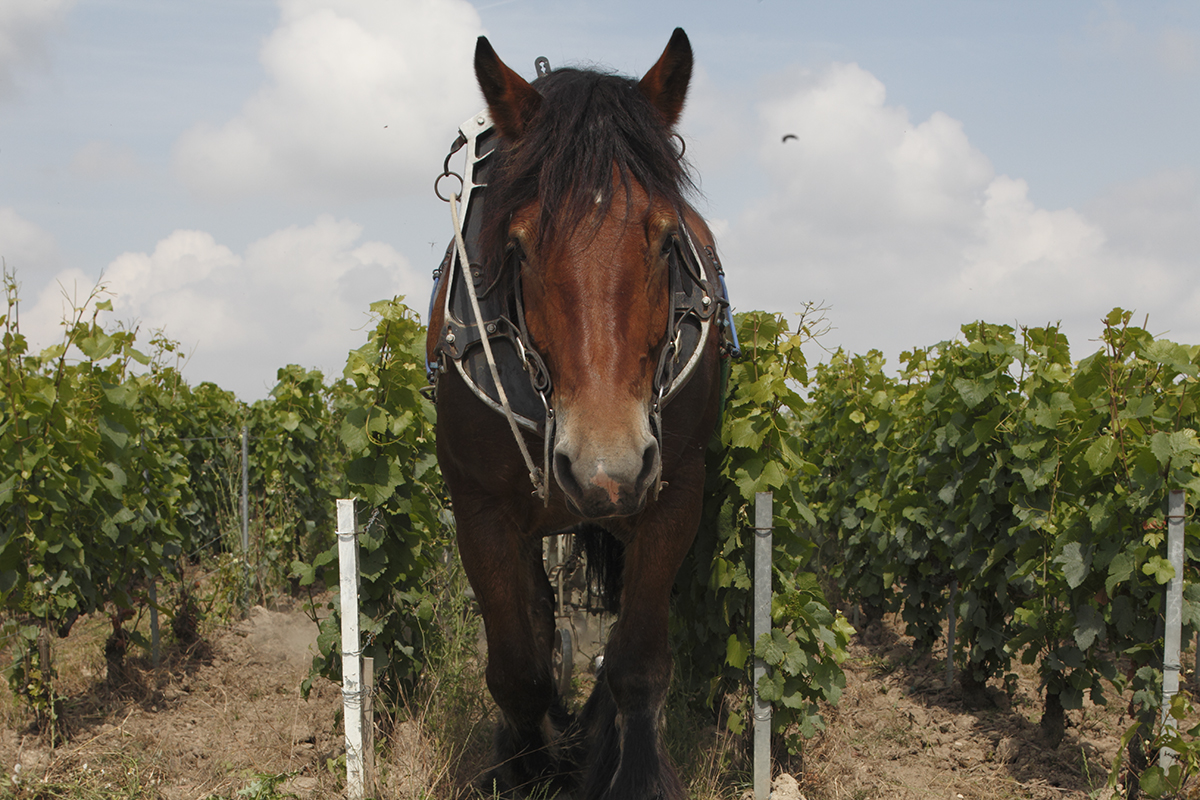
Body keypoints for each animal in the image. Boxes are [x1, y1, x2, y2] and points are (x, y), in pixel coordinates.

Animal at [427, 28, 734, 800]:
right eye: (519, 245)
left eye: (666, 239)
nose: (605, 467)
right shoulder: (478, 507)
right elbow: (518, 667)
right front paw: (525, 766)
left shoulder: (673, 492)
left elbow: (636, 661)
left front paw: (630, 770)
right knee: (537, 619)